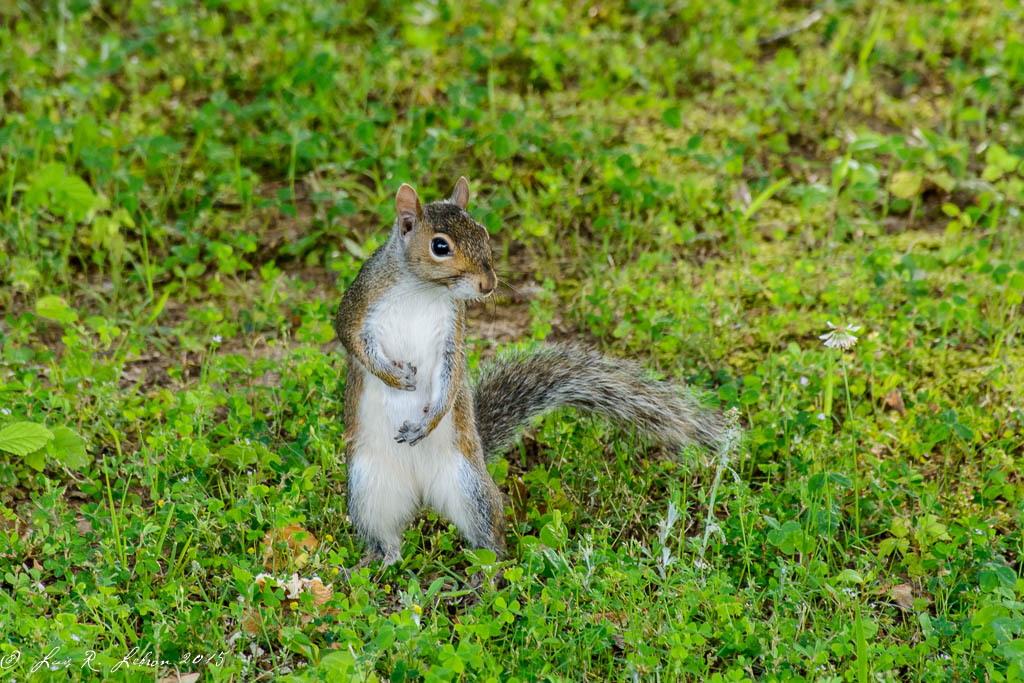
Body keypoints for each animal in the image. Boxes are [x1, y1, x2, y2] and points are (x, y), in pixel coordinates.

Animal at [334, 177, 731, 566]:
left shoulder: (452, 332)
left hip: (469, 488)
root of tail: (421, 496)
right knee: (387, 542)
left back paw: (480, 577)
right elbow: (353, 342)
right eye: (439, 246)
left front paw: (427, 422)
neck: (422, 289)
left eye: (483, 233)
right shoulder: (358, 303)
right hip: (369, 490)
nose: (488, 285)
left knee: (490, 541)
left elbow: (452, 376)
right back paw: (373, 565)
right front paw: (395, 376)